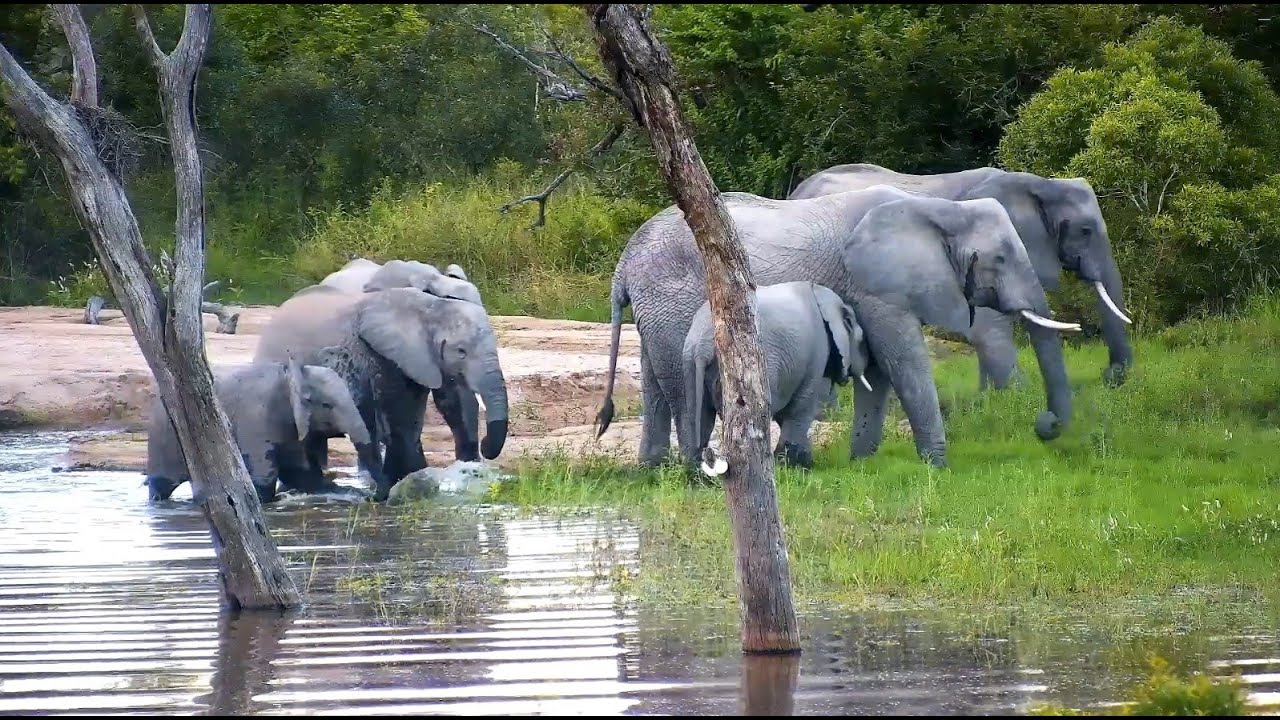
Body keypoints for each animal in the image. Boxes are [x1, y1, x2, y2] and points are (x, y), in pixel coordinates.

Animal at [144, 355, 382, 504]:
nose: (373, 497)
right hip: (163, 434)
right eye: (326, 405)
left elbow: (301, 474)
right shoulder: (255, 419)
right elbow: (264, 480)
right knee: (162, 485)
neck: (291, 374)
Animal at [253, 284, 509, 501]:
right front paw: (405, 479)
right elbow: (398, 410)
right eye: (461, 351)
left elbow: (445, 401)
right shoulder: (378, 352)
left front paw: (413, 476)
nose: (485, 447)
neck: (430, 308)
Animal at [681, 281, 872, 472]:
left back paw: (698, 475)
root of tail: (702, 347)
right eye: (861, 340)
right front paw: (798, 467)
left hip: (689, 363)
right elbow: (801, 407)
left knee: (699, 418)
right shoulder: (818, 351)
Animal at [788, 163, 1133, 391]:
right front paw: (1017, 395)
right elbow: (988, 324)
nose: (1110, 376)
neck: (1039, 183)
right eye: (1085, 231)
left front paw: (988, 398)